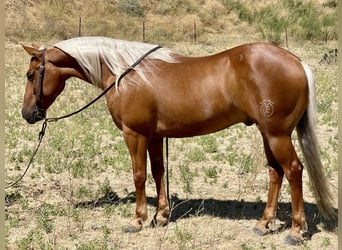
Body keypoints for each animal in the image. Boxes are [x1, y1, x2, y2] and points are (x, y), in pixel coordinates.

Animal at [20, 37, 334, 244]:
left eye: (31, 74)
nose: (27, 114)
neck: (124, 74)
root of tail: (297, 62)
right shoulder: (155, 136)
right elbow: (158, 172)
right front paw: (160, 216)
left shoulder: (134, 134)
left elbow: (139, 175)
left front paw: (137, 220)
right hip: (267, 133)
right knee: (275, 172)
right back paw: (263, 224)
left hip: (277, 135)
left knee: (293, 171)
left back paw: (295, 231)